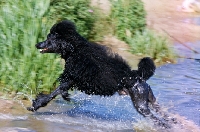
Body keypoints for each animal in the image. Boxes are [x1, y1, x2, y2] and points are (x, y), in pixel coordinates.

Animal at [27, 19, 164, 126]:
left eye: (49, 38)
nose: (37, 44)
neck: (74, 50)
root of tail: (139, 77)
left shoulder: (72, 78)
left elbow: (53, 93)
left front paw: (36, 105)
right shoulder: (72, 79)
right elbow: (60, 91)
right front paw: (64, 96)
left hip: (140, 103)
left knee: (157, 120)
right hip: (150, 100)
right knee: (165, 115)